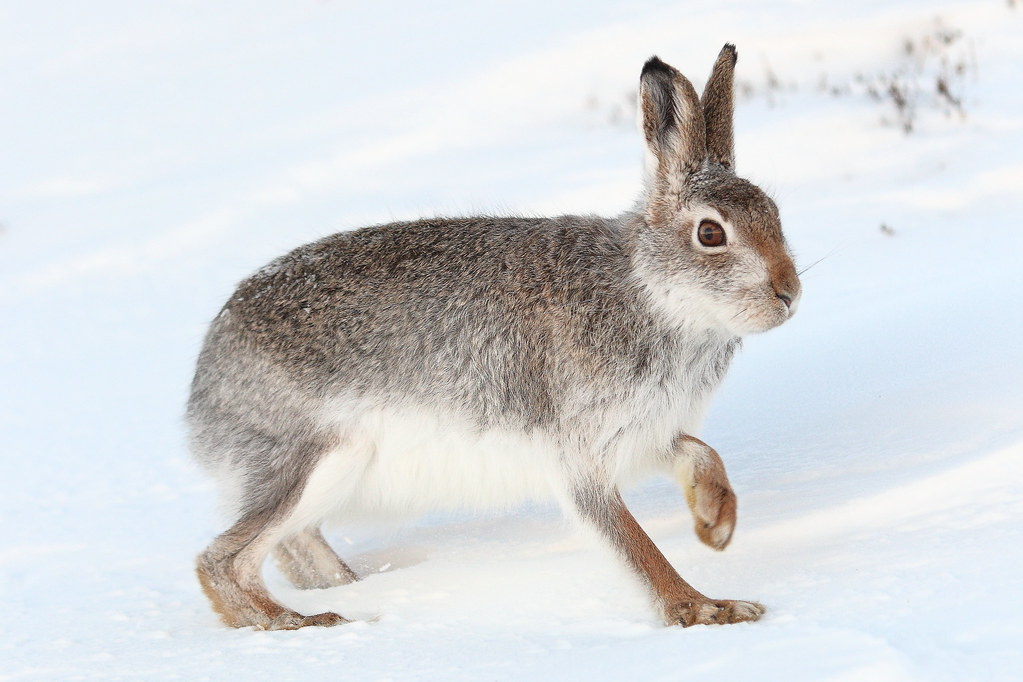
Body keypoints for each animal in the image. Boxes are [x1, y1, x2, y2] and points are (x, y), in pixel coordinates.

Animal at [187, 44, 801, 631]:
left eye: (774, 214)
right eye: (710, 234)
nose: (789, 292)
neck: (649, 290)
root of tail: (205, 383)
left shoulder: (645, 434)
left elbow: (700, 452)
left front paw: (717, 525)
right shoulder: (580, 455)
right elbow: (635, 547)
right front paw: (705, 609)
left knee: (294, 546)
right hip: (313, 458)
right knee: (224, 559)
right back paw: (297, 622)